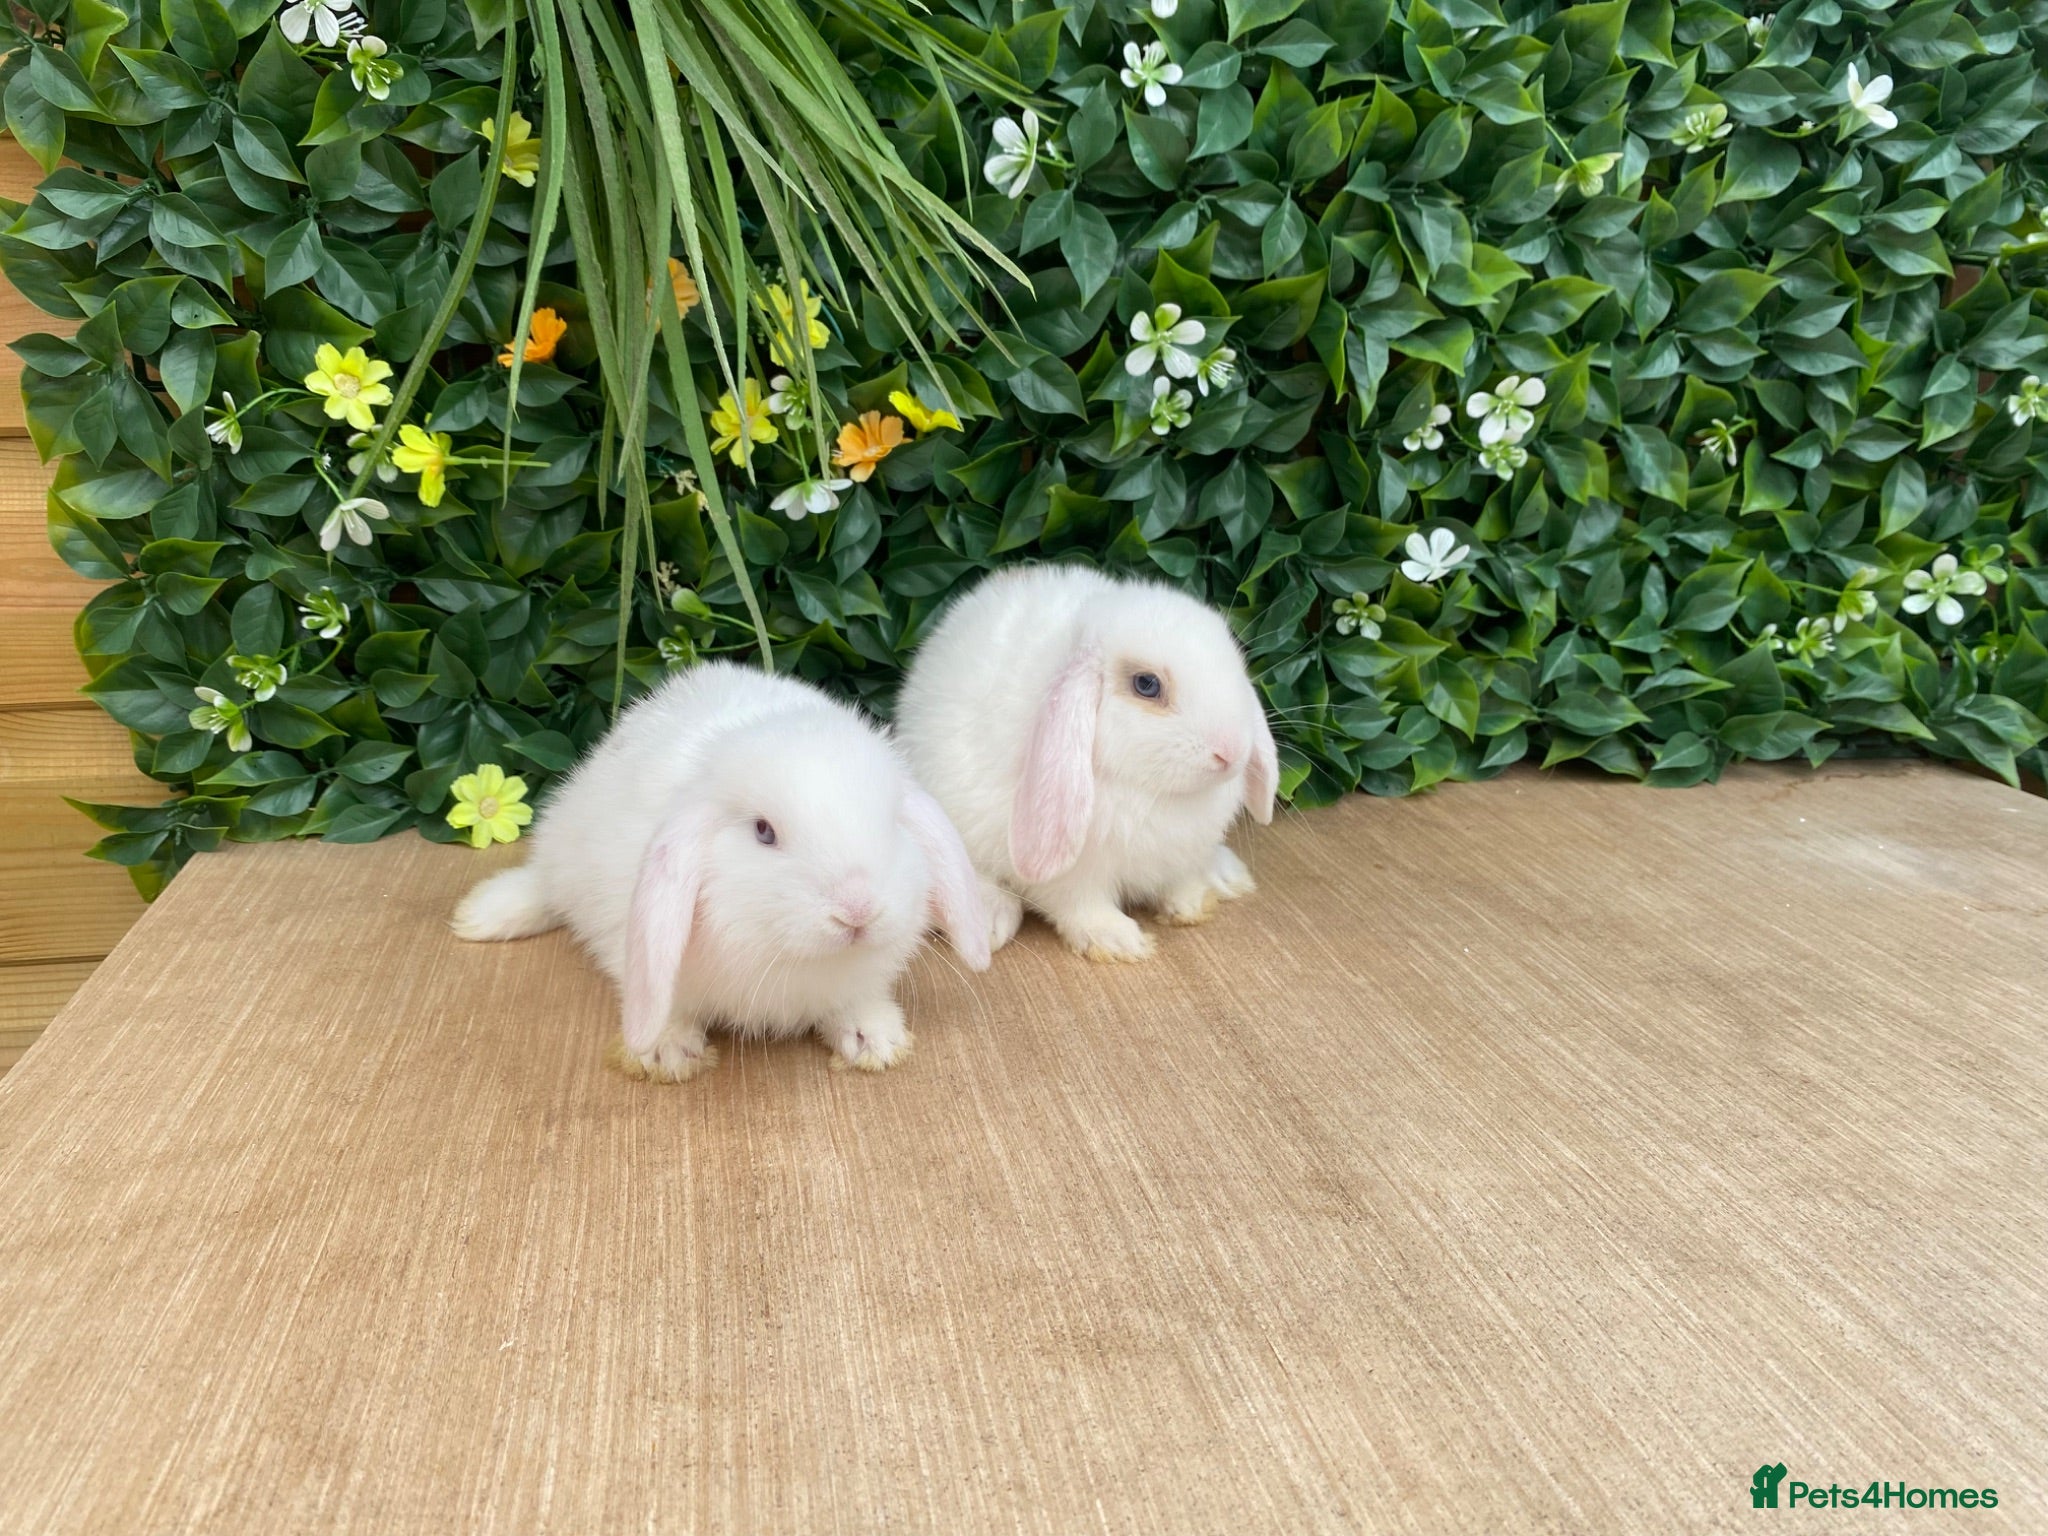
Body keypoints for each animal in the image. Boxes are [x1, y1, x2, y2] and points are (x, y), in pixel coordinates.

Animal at [451, 662, 989, 1080]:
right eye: (764, 831)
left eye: (891, 820)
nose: (858, 911)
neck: (789, 954)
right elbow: (660, 997)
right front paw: (667, 1052)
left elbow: (853, 1002)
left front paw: (874, 1038)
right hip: (565, 839)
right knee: (543, 885)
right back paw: (480, 916)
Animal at [894, 564, 1276, 963]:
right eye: (1147, 684)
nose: (1231, 751)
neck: (1154, 792)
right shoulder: (1071, 877)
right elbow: (1081, 905)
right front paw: (1119, 940)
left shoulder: (1183, 852)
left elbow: (1181, 879)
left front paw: (1192, 902)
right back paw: (990, 920)